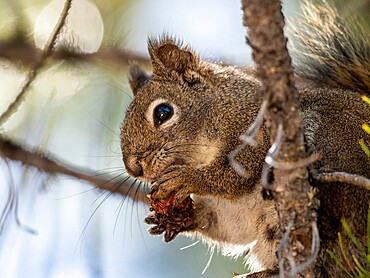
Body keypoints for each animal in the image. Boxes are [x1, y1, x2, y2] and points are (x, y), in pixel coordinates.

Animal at [120, 1, 368, 276]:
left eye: (163, 112)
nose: (133, 169)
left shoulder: (260, 134)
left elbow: (237, 174)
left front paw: (190, 178)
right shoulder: (231, 213)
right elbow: (225, 226)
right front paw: (177, 219)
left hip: (338, 140)